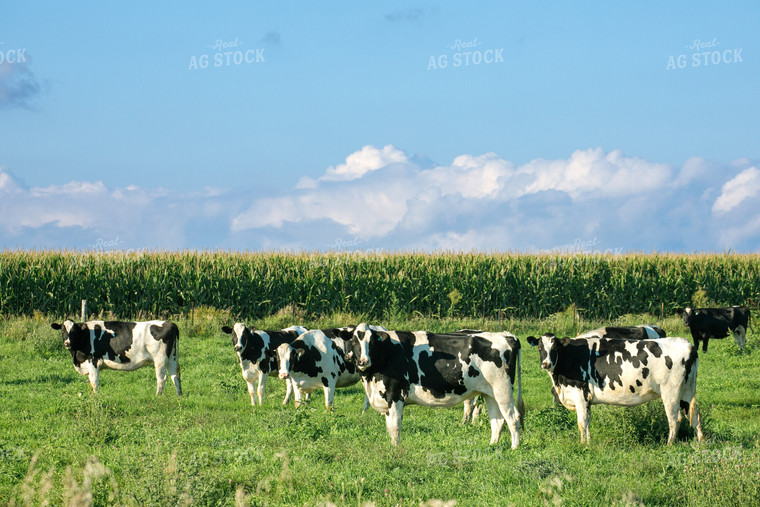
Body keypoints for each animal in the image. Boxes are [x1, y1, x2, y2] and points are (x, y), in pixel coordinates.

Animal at [50, 320, 183, 394]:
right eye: (62, 330)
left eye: (74, 331)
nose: (67, 343)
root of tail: (170, 323)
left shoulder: (93, 361)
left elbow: (94, 382)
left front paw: (95, 398)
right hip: (171, 358)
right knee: (175, 377)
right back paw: (179, 396)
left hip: (159, 359)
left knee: (162, 379)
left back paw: (157, 396)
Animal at [344, 326, 524, 448]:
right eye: (354, 340)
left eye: (372, 341)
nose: (363, 360)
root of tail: (505, 335)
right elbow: (390, 427)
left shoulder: (395, 395)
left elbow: (394, 427)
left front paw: (395, 450)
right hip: (490, 393)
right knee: (498, 420)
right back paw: (492, 445)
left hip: (503, 389)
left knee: (513, 417)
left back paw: (514, 448)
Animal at [524, 334, 704, 444]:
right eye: (540, 348)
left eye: (555, 348)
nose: (546, 364)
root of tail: (687, 344)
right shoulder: (587, 399)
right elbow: (587, 422)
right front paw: (589, 443)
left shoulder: (579, 393)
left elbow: (581, 422)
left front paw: (583, 445)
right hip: (687, 391)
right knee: (694, 416)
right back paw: (701, 441)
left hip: (670, 392)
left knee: (675, 419)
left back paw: (669, 445)